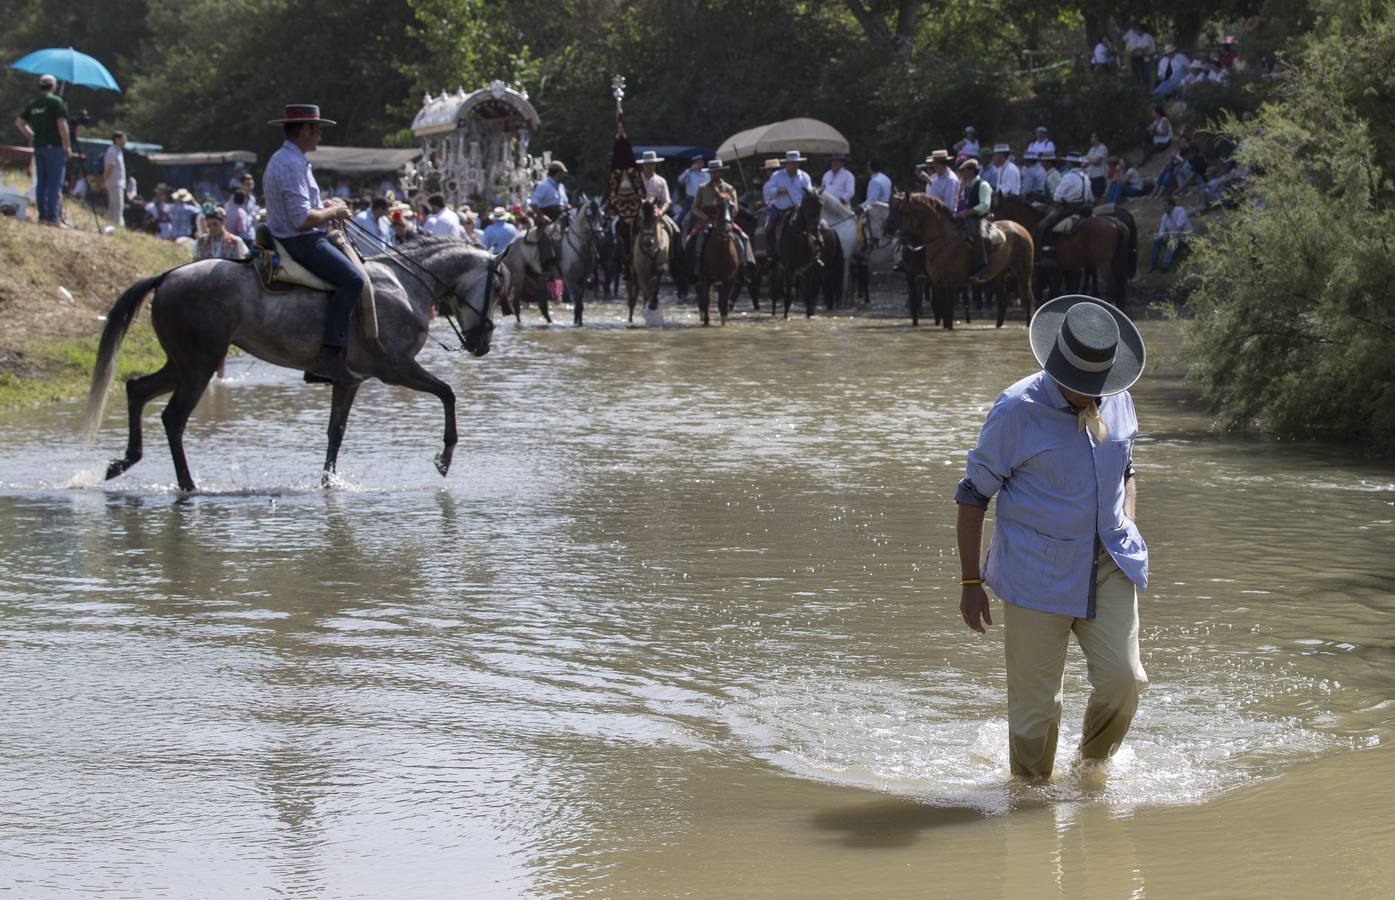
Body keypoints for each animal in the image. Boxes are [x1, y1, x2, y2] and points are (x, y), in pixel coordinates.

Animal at [81, 235, 507, 491]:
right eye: (500, 286)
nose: (482, 342)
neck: (405, 285)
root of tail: (168, 275)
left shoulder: (350, 381)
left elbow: (336, 432)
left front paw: (328, 482)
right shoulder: (396, 369)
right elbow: (447, 393)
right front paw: (445, 457)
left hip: (184, 363)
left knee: (137, 389)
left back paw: (124, 461)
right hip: (200, 364)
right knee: (173, 418)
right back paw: (187, 485)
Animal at [694, 196, 742, 326]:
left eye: (732, 207)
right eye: (718, 207)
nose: (727, 228)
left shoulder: (729, 280)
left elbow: (723, 304)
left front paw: (723, 323)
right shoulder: (705, 278)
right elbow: (706, 300)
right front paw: (706, 321)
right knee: (702, 298)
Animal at [881, 195, 1037, 327]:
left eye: (901, 211)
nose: (887, 228)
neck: (944, 240)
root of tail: (1020, 227)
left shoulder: (950, 283)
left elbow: (948, 316)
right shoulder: (938, 282)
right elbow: (941, 313)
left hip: (1023, 273)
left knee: (1027, 300)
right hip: (998, 276)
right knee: (1003, 302)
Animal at [993, 195, 1132, 306]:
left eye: (997, 210)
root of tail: (1114, 222)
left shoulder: (1046, 265)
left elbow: (1051, 282)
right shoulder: (1060, 265)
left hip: (1104, 263)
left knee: (1113, 285)